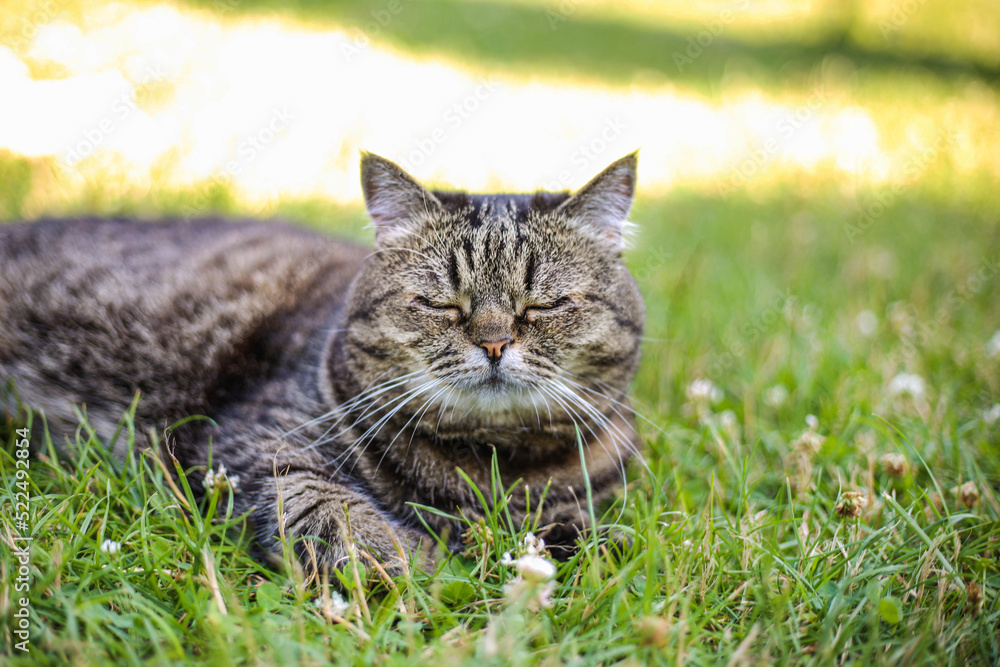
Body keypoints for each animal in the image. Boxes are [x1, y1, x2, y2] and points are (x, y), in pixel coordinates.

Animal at [0, 154, 644, 572]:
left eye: (544, 305)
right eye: (440, 303)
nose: (492, 343)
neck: (487, 466)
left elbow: (611, 536)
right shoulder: (252, 444)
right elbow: (333, 512)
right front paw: (427, 561)